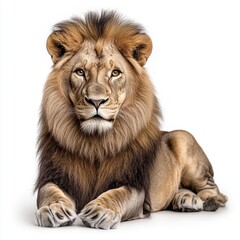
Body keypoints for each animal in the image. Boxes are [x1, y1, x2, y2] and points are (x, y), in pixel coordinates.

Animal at [34, 10, 228, 229]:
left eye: (115, 73)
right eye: (80, 72)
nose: (96, 101)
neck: (94, 143)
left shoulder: (134, 185)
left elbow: (120, 194)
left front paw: (101, 210)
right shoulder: (56, 176)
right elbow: (49, 191)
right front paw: (53, 209)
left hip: (183, 138)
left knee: (214, 190)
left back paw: (202, 200)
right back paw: (183, 198)